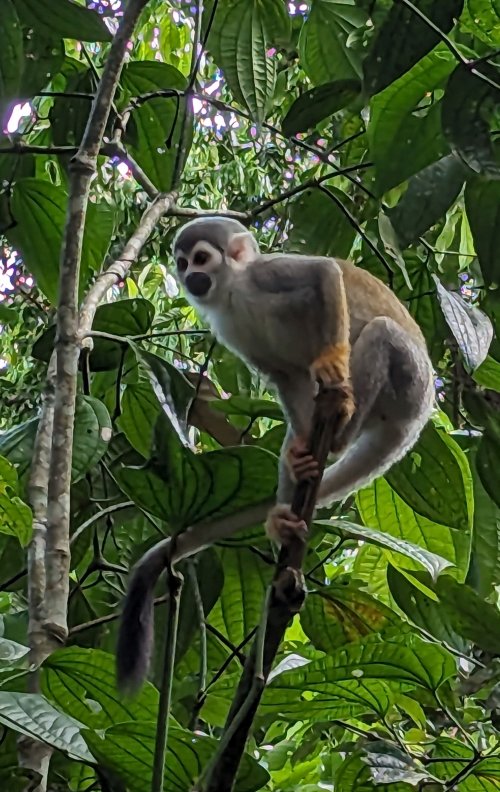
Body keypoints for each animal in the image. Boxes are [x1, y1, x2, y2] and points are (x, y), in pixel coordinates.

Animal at [116, 216, 434, 692]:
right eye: (182, 262)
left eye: (202, 258)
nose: (191, 277)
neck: (232, 294)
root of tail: (416, 421)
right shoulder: (232, 331)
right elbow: (286, 375)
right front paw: (300, 450)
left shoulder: (266, 275)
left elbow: (323, 274)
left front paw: (331, 360)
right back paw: (288, 509)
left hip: (409, 383)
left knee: (381, 332)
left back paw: (340, 429)